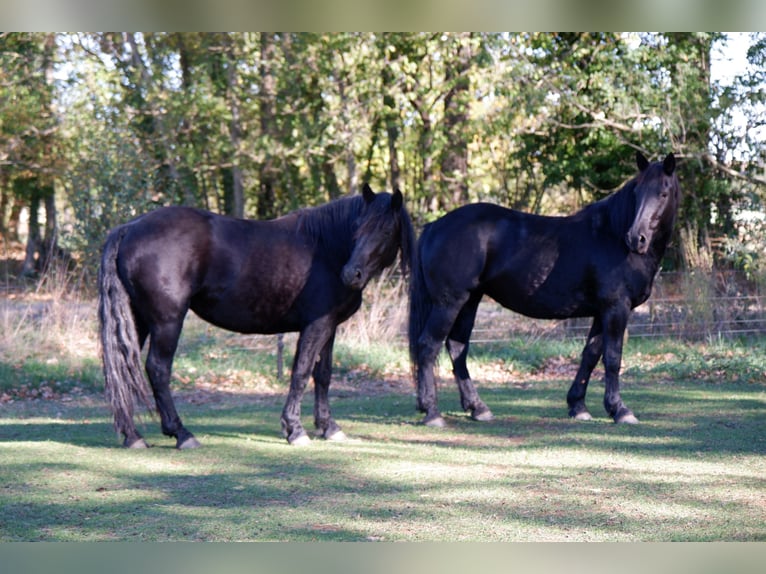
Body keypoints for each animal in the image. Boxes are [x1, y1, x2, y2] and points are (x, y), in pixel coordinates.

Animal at [99, 184, 414, 448]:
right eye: (358, 228)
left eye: (386, 231)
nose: (351, 275)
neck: (325, 247)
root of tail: (130, 227)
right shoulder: (315, 325)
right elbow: (301, 373)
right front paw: (295, 430)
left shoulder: (329, 326)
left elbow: (322, 375)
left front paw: (329, 427)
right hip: (167, 321)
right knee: (158, 369)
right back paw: (182, 434)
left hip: (139, 320)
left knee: (124, 367)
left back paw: (133, 436)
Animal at [409, 151, 679, 427]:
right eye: (637, 193)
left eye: (663, 193)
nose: (637, 238)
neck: (612, 237)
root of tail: (434, 226)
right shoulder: (616, 308)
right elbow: (613, 358)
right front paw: (620, 410)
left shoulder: (601, 312)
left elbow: (590, 355)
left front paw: (578, 406)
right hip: (449, 303)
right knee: (428, 346)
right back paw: (432, 412)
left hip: (469, 301)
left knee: (457, 348)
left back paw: (478, 408)